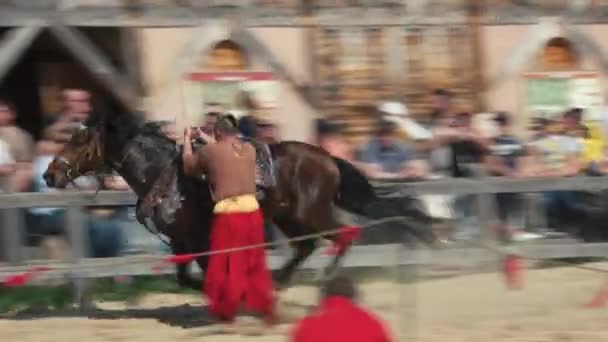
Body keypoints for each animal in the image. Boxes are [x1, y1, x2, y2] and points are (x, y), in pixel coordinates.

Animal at [44, 111, 436, 288]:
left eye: (79, 140)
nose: (49, 174)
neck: (167, 176)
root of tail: (328, 158)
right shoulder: (180, 240)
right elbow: (185, 276)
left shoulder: (200, 238)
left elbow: (206, 272)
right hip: (287, 217)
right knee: (305, 246)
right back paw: (281, 278)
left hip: (311, 213)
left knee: (342, 235)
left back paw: (325, 275)